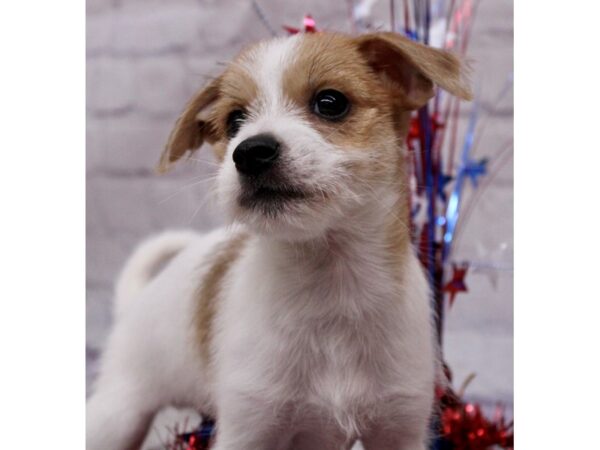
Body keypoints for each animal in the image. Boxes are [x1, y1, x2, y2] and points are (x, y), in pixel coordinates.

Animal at [86, 31, 472, 450]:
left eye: (331, 103)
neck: (330, 287)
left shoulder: (399, 430)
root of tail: (137, 299)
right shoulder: (247, 429)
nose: (250, 152)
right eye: (234, 120)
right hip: (118, 415)